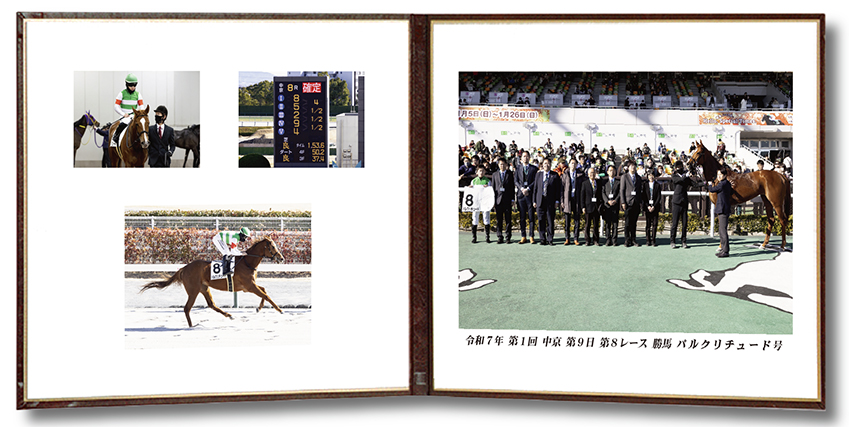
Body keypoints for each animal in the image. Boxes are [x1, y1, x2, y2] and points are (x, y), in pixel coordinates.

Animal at [139, 236, 286, 327]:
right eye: (273, 246)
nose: (282, 258)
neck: (246, 262)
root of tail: (184, 268)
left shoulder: (248, 286)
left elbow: (264, 291)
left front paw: (259, 308)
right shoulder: (249, 286)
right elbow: (266, 295)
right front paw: (280, 310)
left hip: (204, 288)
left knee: (211, 304)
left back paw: (228, 315)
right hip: (193, 291)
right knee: (187, 308)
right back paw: (191, 326)